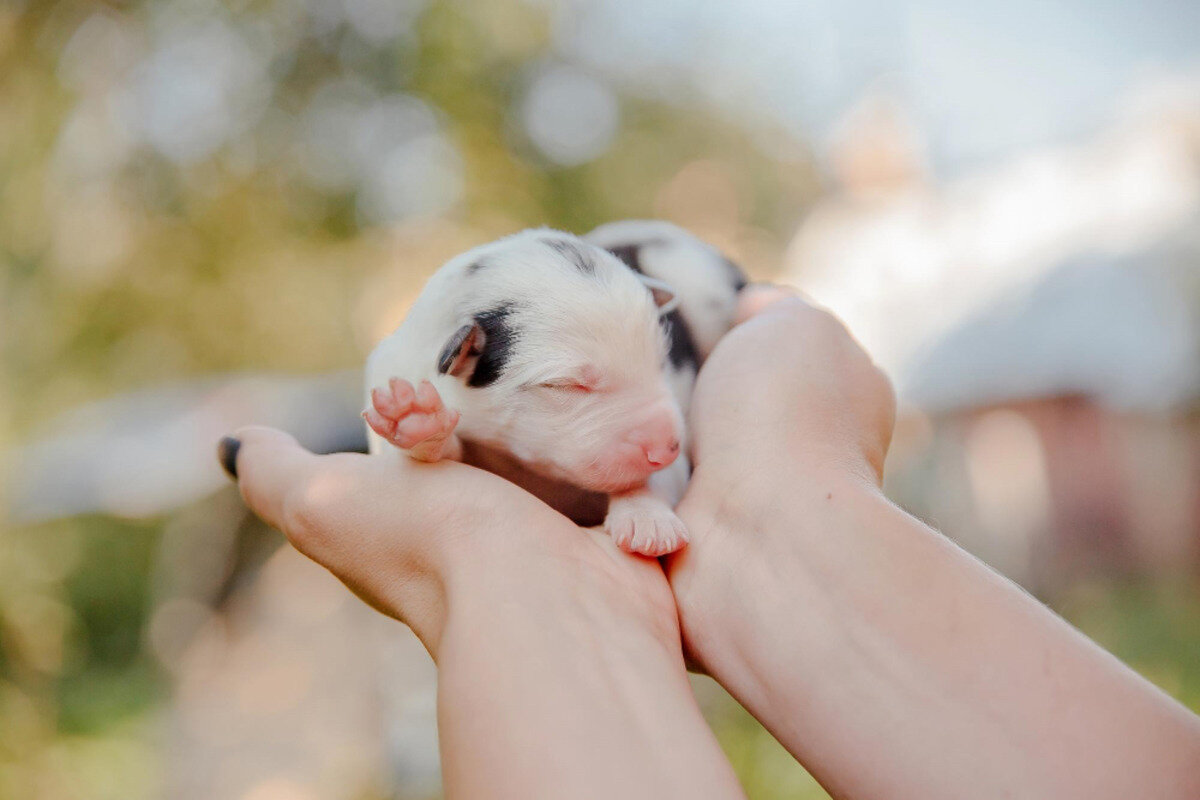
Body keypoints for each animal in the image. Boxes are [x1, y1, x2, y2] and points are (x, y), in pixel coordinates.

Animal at [360, 220, 744, 556]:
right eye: (567, 385)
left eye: (662, 362)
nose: (667, 447)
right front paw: (416, 420)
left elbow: (660, 477)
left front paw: (647, 518)